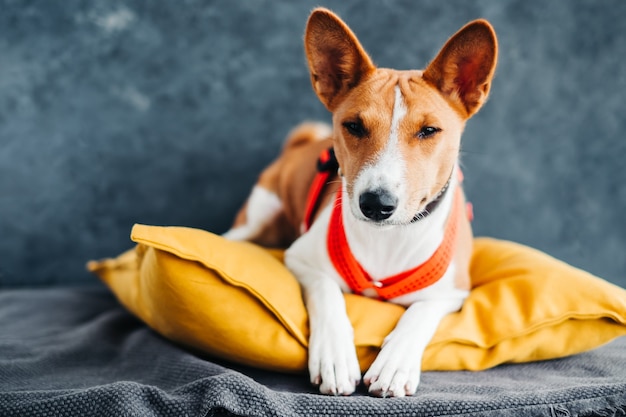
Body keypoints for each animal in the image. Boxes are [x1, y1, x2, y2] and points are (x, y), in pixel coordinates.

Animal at [222, 7, 494, 396]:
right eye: (353, 126)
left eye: (428, 131)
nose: (376, 203)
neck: (388, 237)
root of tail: (298, 145)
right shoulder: (303, 260)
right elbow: (328, 295)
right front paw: (335, 357)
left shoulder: (452, 293)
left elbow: (418, 314)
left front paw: (395, 364)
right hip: (256, 219)